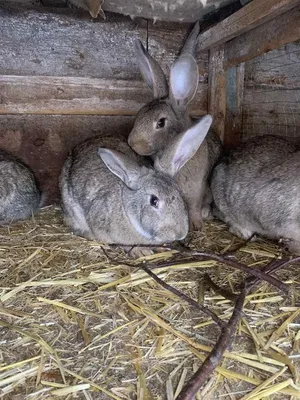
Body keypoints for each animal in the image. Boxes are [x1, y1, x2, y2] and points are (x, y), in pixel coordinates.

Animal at [127, 22, 223, 231]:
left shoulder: (196, 189)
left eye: (161, 122)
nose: (132, 143)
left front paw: (196, 225)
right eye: (140, 113)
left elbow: (194, 207)